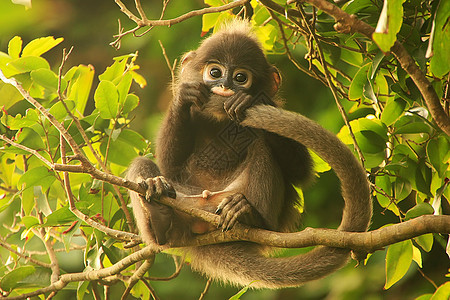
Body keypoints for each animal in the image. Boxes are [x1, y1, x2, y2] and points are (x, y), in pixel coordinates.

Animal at [125, 19, 370, 288]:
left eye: (240, 77)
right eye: (215, 73)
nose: (225, 86)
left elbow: (301, 173)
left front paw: (248, 102)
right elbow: (170, 166)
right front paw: (184, 97)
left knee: (263, 149)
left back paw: (248, 215)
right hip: (185, 204)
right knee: (143, 166)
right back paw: (158, 212)